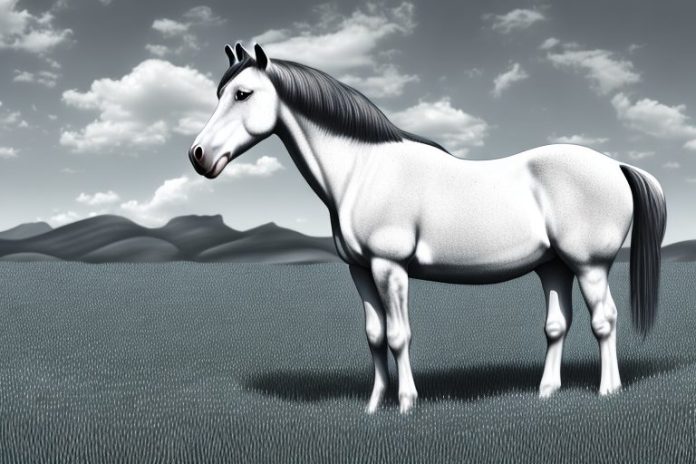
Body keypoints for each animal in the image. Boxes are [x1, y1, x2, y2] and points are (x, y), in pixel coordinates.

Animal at [189, 43, 667, 414]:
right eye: (219, 93)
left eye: (243, 93)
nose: (198, 155)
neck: (363, 169)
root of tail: (615, 165)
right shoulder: (360, 271)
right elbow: (374, 336)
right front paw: (373, 405)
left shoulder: (390, 267)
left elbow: (399, 336)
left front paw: (406, 403)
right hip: (553, 266)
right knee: (556, 325)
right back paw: (546, 392)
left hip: (589, 266)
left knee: (604, 320)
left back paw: (608, 390)